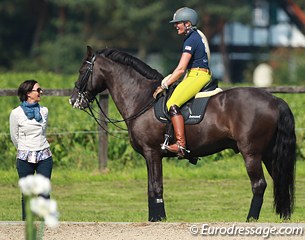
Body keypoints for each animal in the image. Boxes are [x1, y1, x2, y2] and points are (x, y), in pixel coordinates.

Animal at [69, 46, 294, 222]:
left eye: (82, 70)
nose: (73, 100)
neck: (143, 98)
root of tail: (274, 100)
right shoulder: (149, 156)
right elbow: (151, 187)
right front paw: (154, 218)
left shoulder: (152, 153)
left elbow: (156, 187)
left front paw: (159, 218)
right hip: (268, 154)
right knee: (279, 180)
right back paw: (283, 216)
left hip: (252, 154)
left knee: (259, 185)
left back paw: (250, 219)